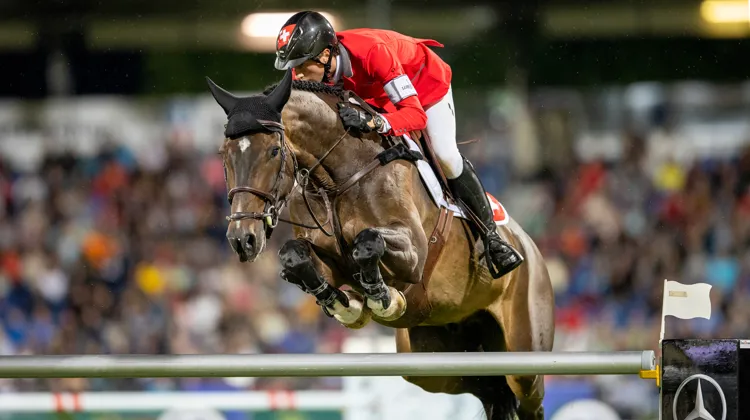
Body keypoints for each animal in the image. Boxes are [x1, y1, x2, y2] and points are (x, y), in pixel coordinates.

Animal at [206, 68, 555, 420]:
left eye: (273, 152)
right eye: (224, 155)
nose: (243, 239)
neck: (339, 179)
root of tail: (532, 249)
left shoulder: (413, 253)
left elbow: (367, 243)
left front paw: (380, 297)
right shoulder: (328, 261)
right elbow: (295, 255)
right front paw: (344, 305)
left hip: (524, 355)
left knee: (525, 395)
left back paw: (500, 252)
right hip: (437, 361)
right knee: (489, 387)